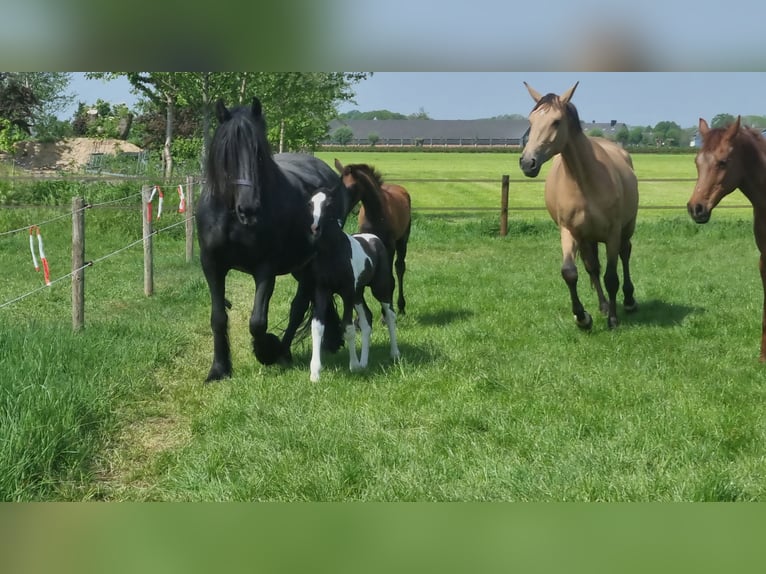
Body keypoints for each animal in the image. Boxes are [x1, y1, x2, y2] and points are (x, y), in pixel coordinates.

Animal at [196, 97, 345, 382]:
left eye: (259, 152)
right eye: (227, 154)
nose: (249, 209)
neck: (231, 217)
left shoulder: (265, 268)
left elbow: (257, 322)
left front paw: (266, 351)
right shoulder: (211, 265)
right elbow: (218, 317)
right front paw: (219, 369)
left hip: (309, 264)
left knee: (298, 307)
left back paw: (283, 351)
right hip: (300, 267)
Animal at [307, 186, 400, 382]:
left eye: (328, 204)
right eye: (310, 204)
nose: (314, 228)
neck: (333, 253)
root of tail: (374, 238)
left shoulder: (347, 292)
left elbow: (348, 327)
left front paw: (353, 365)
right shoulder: (322, 291)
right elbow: (317, 327)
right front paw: (315, 373)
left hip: (379, 289)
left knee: (389, 315)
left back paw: (394, 353)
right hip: (359, 294)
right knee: (367, 320)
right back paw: (365, 362)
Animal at [333, 159, 412, 315]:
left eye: (351, 187)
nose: (339, 210)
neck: (376, 214)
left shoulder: (389, 246)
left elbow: (389, 280)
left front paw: (385, 313)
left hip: (403, 240)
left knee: (400, 268)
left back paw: (401, 307)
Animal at [519, 81, 639, 330]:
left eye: (556, 121)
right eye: (531, 121)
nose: (527, 162)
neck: (584, 180)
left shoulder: (613, 233)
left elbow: (611, 277)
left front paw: (613, 320)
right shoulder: (569, 231)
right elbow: (570, 273)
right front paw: (583, 317)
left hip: (626, 228)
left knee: (625, 254)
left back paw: (629, 301)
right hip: (586, 238)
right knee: (592, 267)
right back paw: (603, 306)